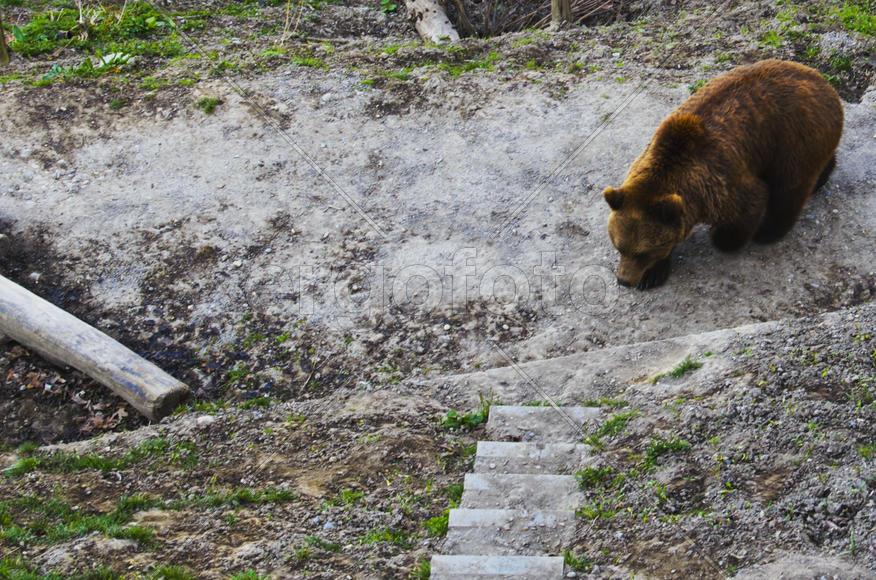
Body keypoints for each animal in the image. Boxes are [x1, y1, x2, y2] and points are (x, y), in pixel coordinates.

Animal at [603, 59, 843, 289]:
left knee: (789, 186)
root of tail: (824, 83)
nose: (624, 280)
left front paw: (721, 236)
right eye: (619, 246)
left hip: (795, 137)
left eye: (643, 252)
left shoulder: (718, 181)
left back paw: (768, 231)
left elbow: (750, 203)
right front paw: (651, 275)